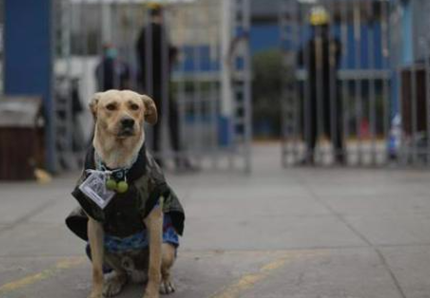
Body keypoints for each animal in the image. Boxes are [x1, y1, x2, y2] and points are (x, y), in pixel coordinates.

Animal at [87, 90, 176, 298]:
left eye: (135, 107)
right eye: (110, 106)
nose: (128, 121)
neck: (118, 168)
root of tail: (135, 269)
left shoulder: (154, 222)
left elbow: (154, 268)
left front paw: (151, 294)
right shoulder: (94, 226)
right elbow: (96, 271)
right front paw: (96, 293)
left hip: (166, 248)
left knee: (161, 269)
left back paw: (165, 282)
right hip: (103, 250)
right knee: (121, 272)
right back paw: (114, 282)